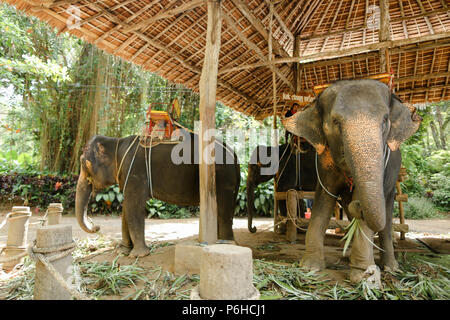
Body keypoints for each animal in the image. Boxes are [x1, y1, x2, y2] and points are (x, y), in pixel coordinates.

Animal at [75, 130, 241, 258]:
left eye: (84, 164)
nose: (96, 227)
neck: (117, 142)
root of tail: (234, 153)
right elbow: (127, 206)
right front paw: (123, 252)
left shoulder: (135, 172)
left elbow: (133, 205)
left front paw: (138, 255)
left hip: (222, 175)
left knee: (224, 206)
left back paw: (226, 244)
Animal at [284, 80, 420, 282]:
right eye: (335, 122)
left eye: (385, 120)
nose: (357, 203)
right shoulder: (325, 162)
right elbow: (323, 201)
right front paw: (309, 267)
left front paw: (362, 275)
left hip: (391, 186)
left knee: (386, 220)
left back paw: (391, 267)